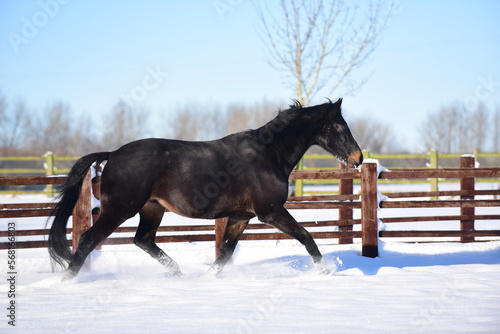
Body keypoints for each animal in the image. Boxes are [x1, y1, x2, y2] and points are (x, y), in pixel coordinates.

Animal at [48, 98, 364, 280]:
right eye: (339, 127)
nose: (358, 158)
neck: (269, 154)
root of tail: (113, 154)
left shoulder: (241, 217)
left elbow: (225, 253)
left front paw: (208, 279)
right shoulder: (270, 212)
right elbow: (306, 236)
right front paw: (326, 270)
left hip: (152, 209)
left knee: (143, 240)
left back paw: (177, 273)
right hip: (119, 210)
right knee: (88, 240)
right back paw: (67, 283)